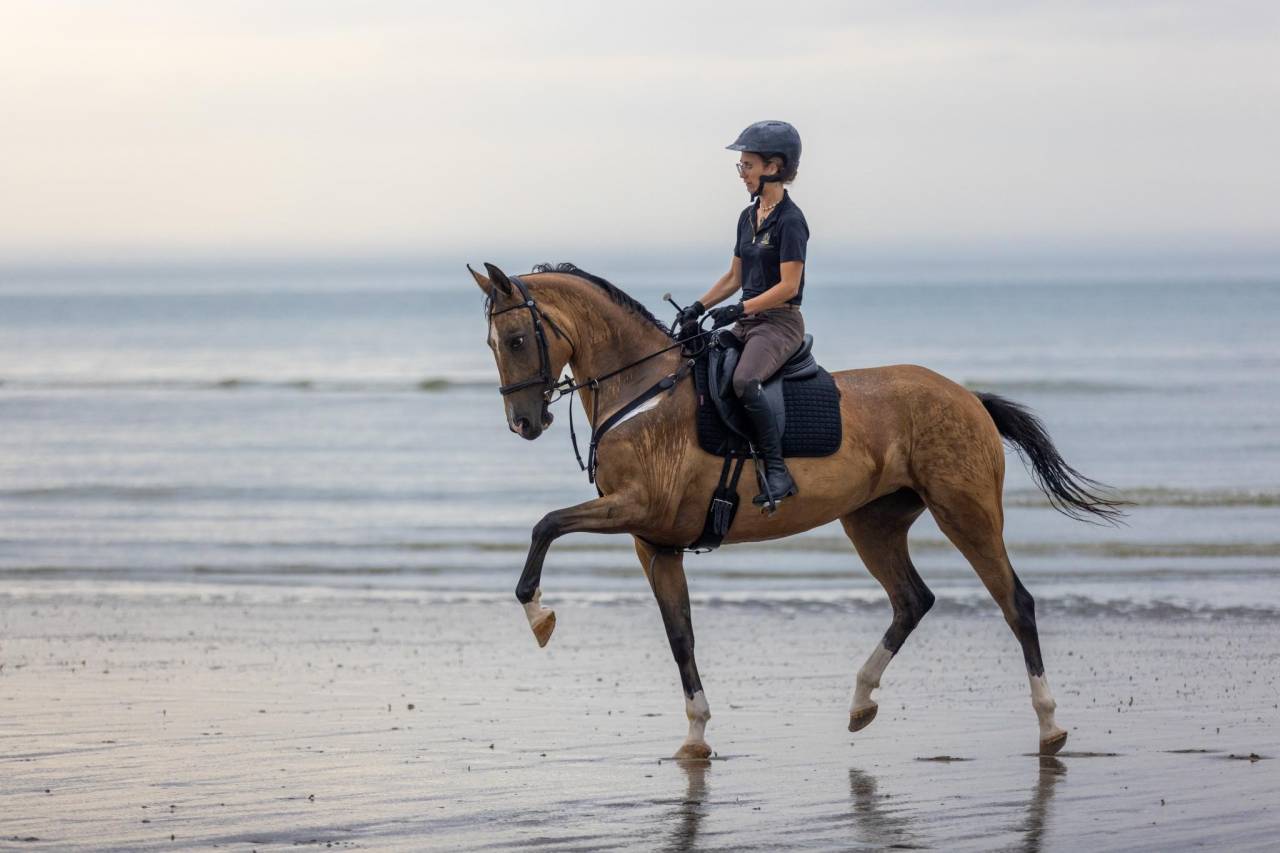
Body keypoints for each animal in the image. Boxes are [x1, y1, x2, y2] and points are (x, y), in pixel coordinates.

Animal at [469, 261, 1123, 759]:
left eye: (518, 339)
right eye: (493, 344)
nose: (524, 423)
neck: (644, 390)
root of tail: (967, 396)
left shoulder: (632, 507)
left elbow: (546, 524)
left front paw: (539, 615)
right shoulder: (655, 543)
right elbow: (681, 638)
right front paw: (696, 736)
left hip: (966, 511)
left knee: (1016, 604)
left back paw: (1050, 724)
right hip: (872, 522)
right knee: (912, 600)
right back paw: (861, 701)